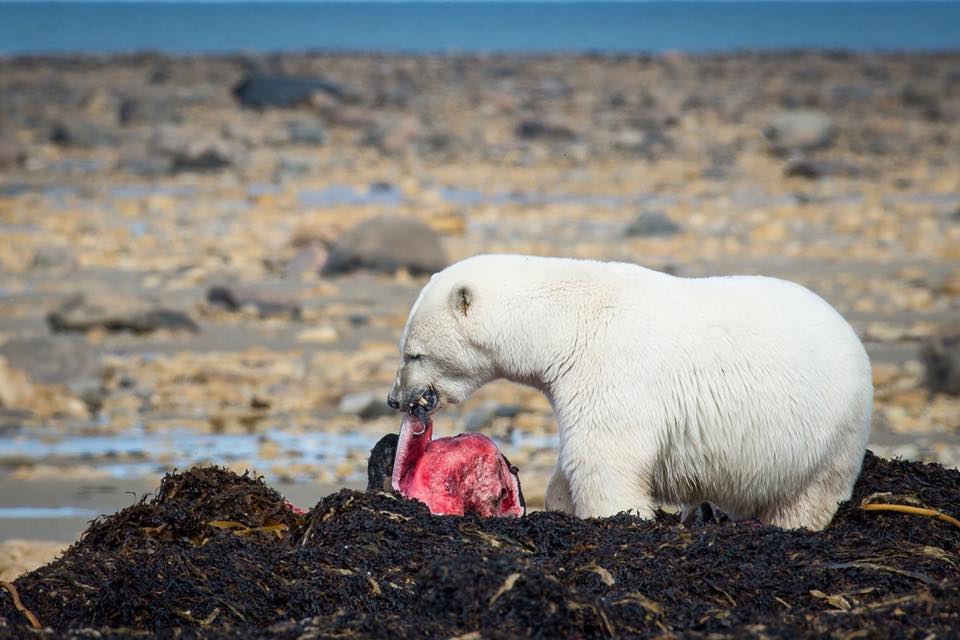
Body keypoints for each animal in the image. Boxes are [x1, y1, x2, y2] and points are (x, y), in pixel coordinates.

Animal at [387, 254, 872, 530]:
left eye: (413, 353)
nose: (396, 398)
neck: (565, 323)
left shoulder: (610, 370)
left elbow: (603, 458)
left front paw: (616, 517)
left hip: (826, 437)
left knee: (806, 496)